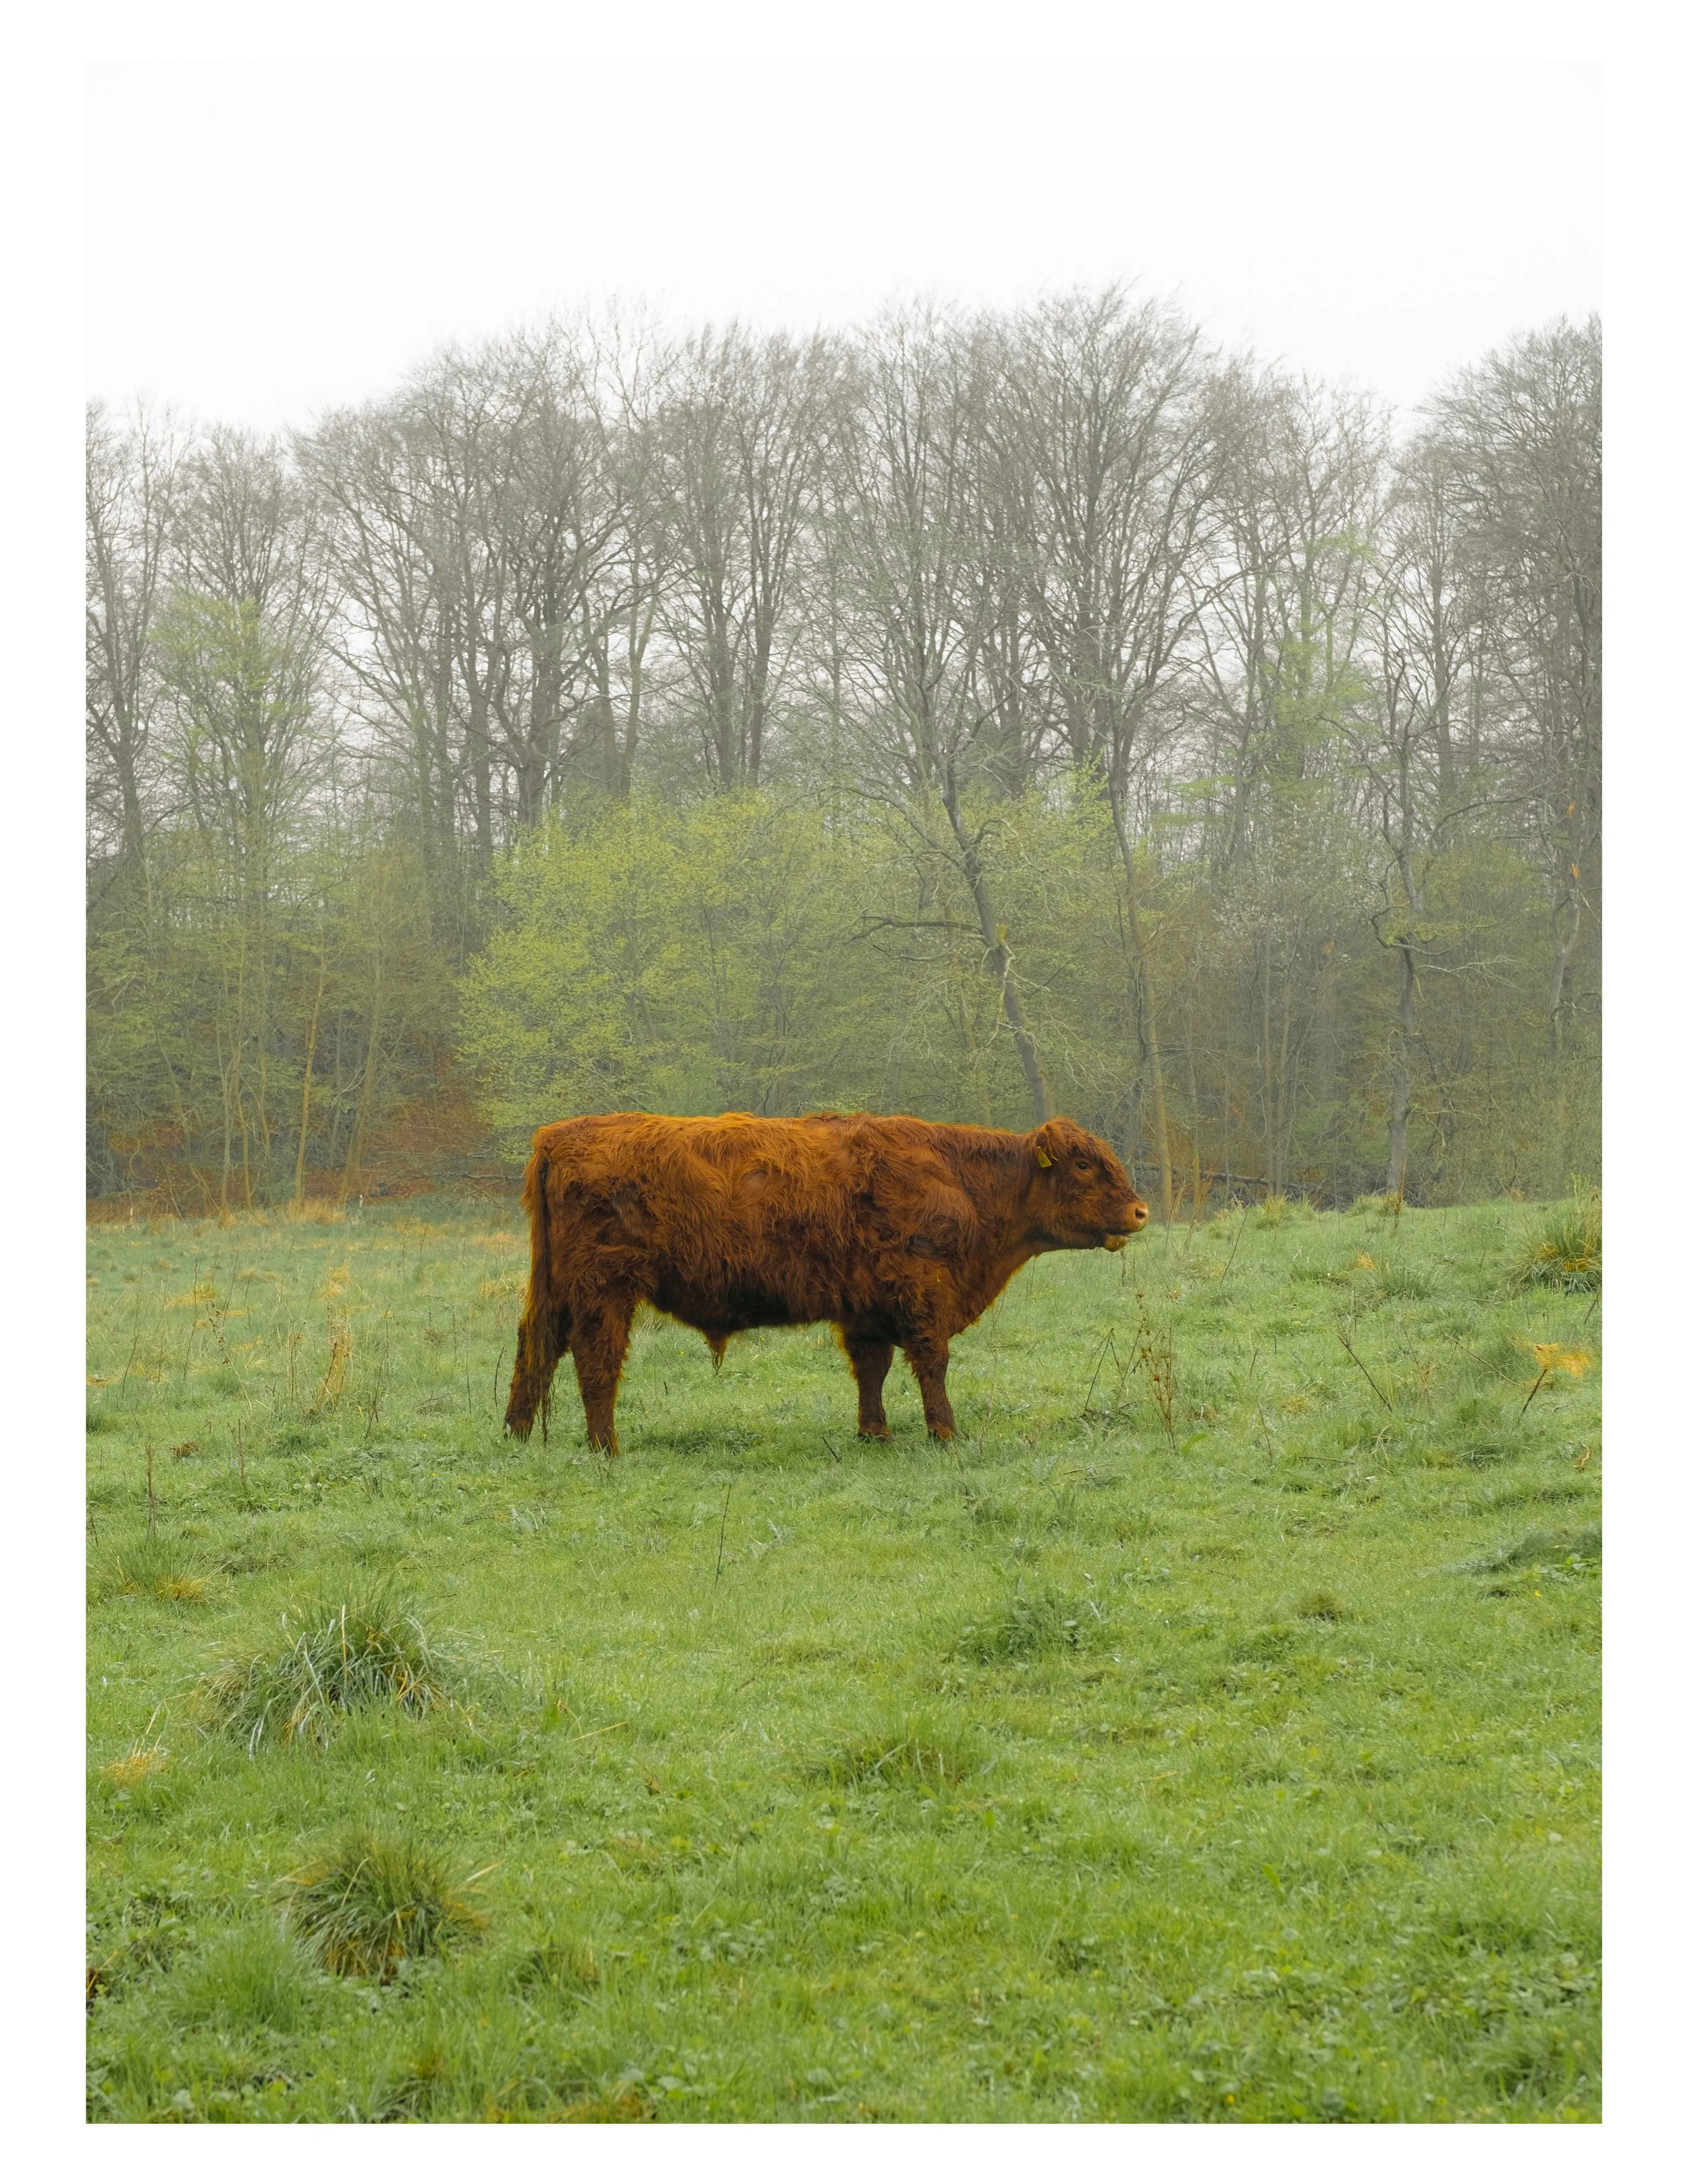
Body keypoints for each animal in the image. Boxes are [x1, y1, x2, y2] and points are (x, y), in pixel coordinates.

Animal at [502, 1109, 1151, 1454]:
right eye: (1084, 1163)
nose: (1141, 1211)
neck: (963, 1180)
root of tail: (561, 1133)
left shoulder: (867, 1306)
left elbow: (872, 1369)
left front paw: (874, 1433)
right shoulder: (922, 1293)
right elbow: (932, 1362)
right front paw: (945, 1432)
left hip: (558, 1290)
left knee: (536, 1350)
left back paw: (517, 1433)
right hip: (604, 1291)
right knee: (596, 1361)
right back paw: (604, 1446)